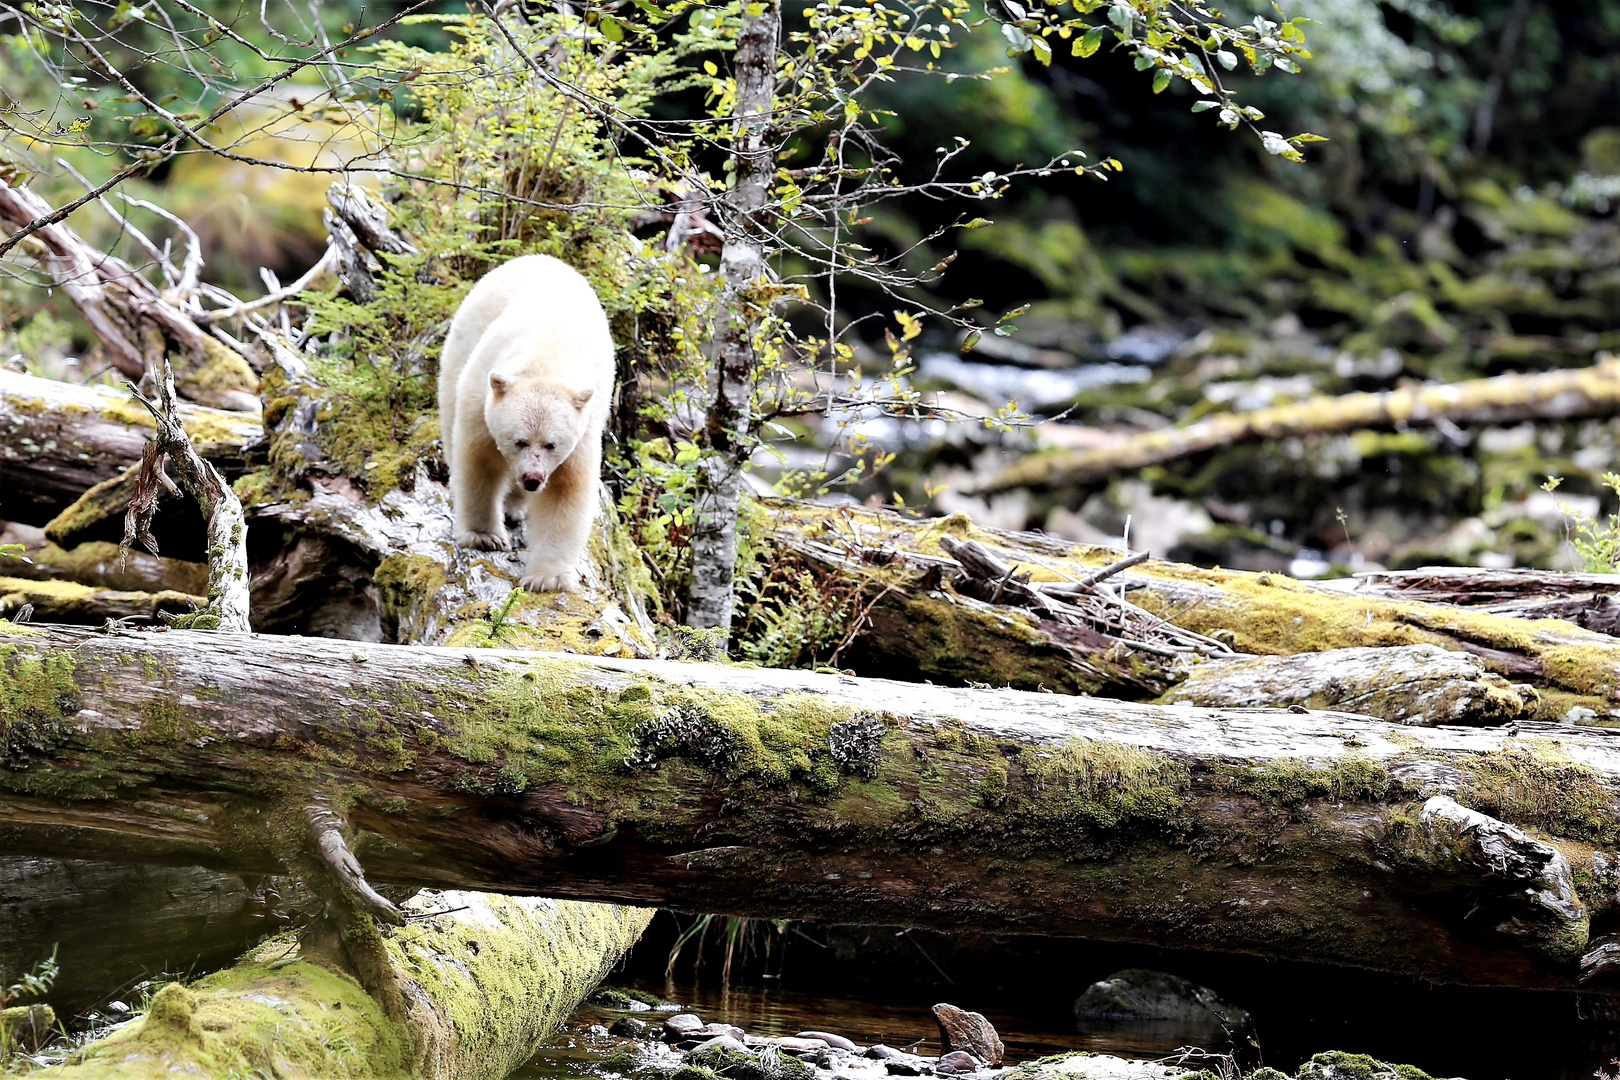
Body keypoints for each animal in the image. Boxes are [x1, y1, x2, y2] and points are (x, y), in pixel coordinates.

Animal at [437, 255, 612, 592]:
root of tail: (537, 258)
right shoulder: (482, 398)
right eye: (518, 440)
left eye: (551, 444)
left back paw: (515, 505)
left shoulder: (582, 431)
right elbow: (479, 464)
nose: (532, 478)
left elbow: (565, 493)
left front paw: (548, 577)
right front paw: (484, 537)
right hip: (464, 341)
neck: (547, 357)